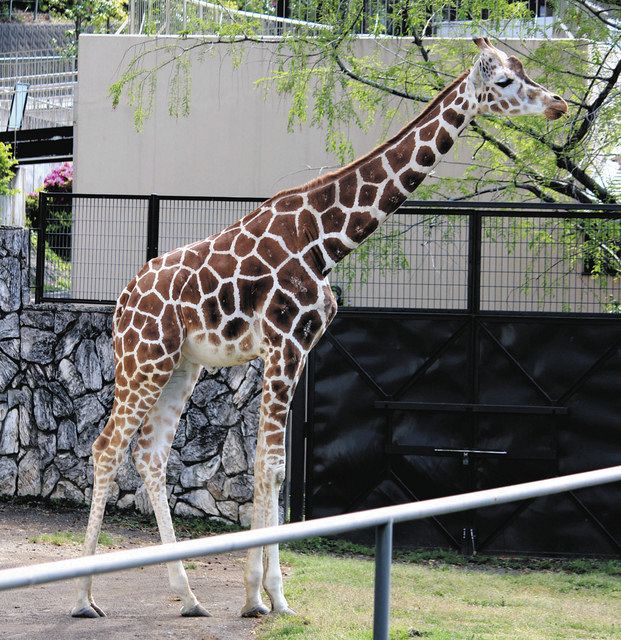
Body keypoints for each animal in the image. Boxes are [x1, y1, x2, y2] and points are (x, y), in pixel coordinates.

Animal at [71, 38, 568, 620]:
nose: (559, 104)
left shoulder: (300, 350)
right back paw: (83, 598)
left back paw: (189, 597)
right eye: (506, 81)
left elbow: (275, 468)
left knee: (150, 453)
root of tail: (122, 302)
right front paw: (263, 597)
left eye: (525, 67)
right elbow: (270, 465)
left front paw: (265, 596)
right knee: (106, 447)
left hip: (182, 365)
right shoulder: (283, 344)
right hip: (142, 359)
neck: (325, 241)